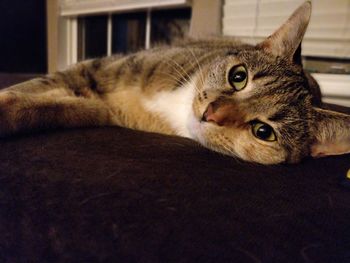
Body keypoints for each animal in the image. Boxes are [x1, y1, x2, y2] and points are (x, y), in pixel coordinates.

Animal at [0, 1, 348, 164]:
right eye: (238, 77)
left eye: (264, 132)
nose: (211, 113)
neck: (178, 105)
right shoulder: (94, 69)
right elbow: (35, 86)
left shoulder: (100, 110)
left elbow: (46, 107)